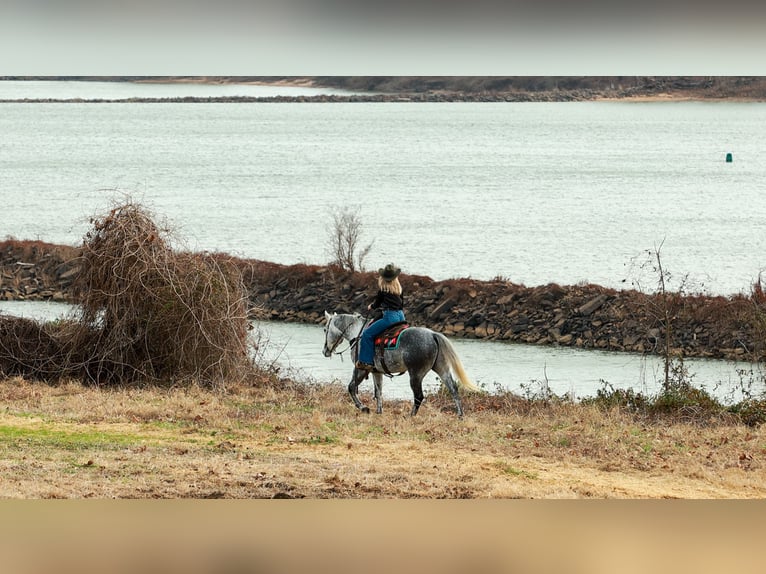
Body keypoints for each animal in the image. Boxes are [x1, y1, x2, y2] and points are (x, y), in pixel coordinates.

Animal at [322, 311, 480, 417]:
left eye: (325, 329)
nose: (325, 351)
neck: (358, 334)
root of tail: (433, 335)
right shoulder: (376, 371)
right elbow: (378, 392)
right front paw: (379, 411)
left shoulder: (360, 369)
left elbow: (351, 387)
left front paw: (363, 408)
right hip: (442, 369)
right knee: (453, 389)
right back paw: (460, 415)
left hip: (416, 374)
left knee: (419, 396)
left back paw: (411, 415)